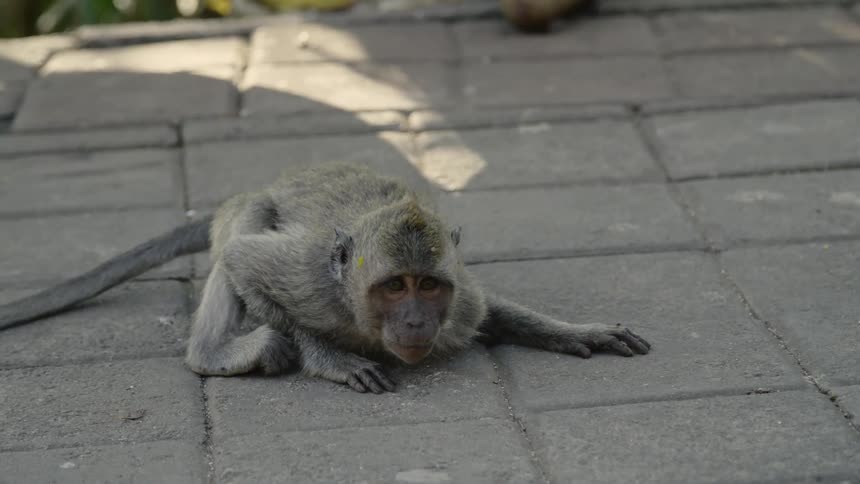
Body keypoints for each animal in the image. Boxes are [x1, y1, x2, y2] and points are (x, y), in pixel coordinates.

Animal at [0, 163, 650, 394]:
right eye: (394, 287)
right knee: (244, 229)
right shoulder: (310, 280)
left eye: (428, 286)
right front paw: (329, 358)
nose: (416, 321)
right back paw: (219, 352)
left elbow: (483, 310)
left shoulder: (459, 301)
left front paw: (574, 331)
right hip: (247, 209)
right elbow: (246, 262)